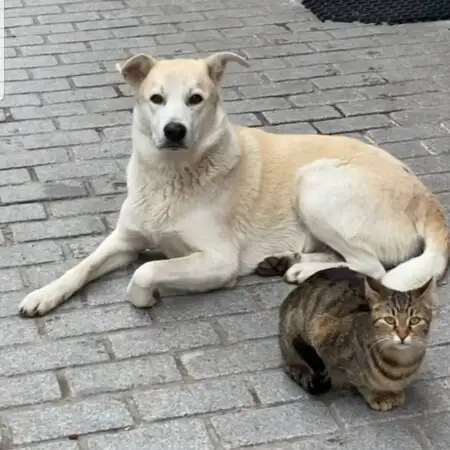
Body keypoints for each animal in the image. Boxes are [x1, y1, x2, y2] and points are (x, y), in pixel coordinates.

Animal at [18, 51, 446, 316]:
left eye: (196, 99)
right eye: (156, 98)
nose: (174, 131)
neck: (172, 175)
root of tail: (429, 201)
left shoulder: (218, 260)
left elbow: (146, 272)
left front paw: (146, 297)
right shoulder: (124, 240)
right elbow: (81, 268)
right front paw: (44, 295)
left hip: (316, 182)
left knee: (372, 267)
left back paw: (300, 271)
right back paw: (288, 261)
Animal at [264, 260, 436, 412]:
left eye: (414, 320)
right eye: (389, 320)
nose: (402, 335)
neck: (400, 364)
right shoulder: (322, 329)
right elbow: (357, 382)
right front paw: (377, 395)